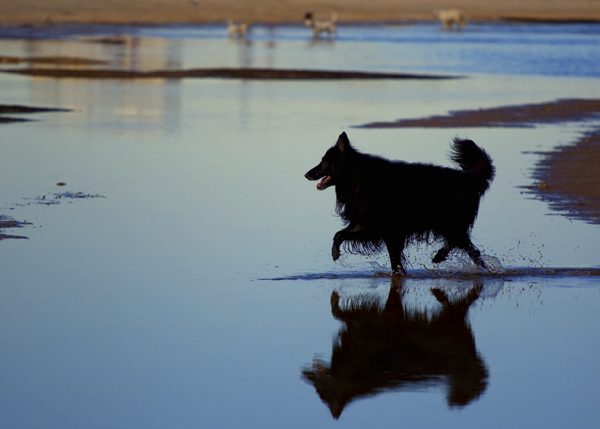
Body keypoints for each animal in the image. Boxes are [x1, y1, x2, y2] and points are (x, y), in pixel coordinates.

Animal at [308, 130, 494, 276]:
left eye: (324, 161)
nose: (306, 174)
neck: (358, 179)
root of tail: (469, 178)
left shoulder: (387, 231)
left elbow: (394, 259)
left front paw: (398, 274)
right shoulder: (371, 227)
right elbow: (339, 234)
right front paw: (335, 252)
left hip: (449, 222)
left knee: (468, 247)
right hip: (447, 224)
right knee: (465, 246)